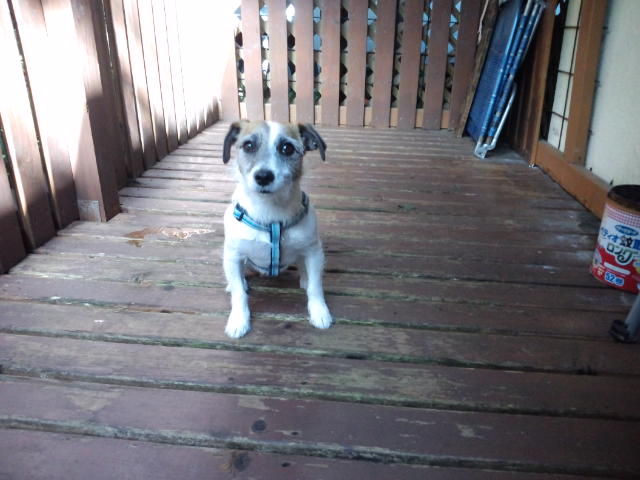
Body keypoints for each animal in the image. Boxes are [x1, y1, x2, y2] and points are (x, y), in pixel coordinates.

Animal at [222, 120, 333, 338]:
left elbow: (316, 287)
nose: (263, 176)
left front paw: (319, 312)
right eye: (248, 145)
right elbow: (239, 294)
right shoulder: (233, 254)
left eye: (287, 148)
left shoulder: (314, 251)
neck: (269, 211)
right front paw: (239, 320)